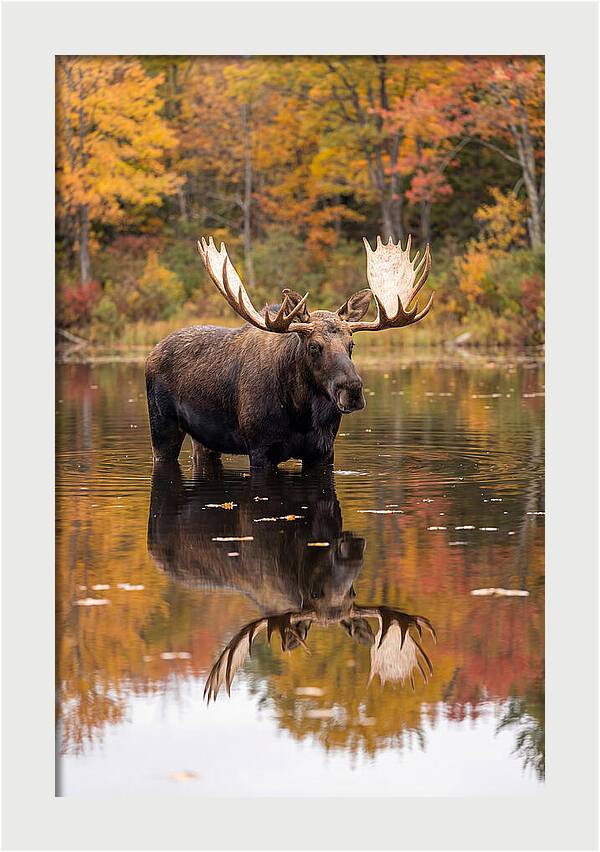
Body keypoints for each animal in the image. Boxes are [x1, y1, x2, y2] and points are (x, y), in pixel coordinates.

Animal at [145, 235, 433, 469]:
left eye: (352, 344)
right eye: (314, 346)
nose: (351, 390)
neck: (301, 413)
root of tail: (152, 352)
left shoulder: (323, 451)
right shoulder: (260, 448)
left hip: (204, 439)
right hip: (162, 426)